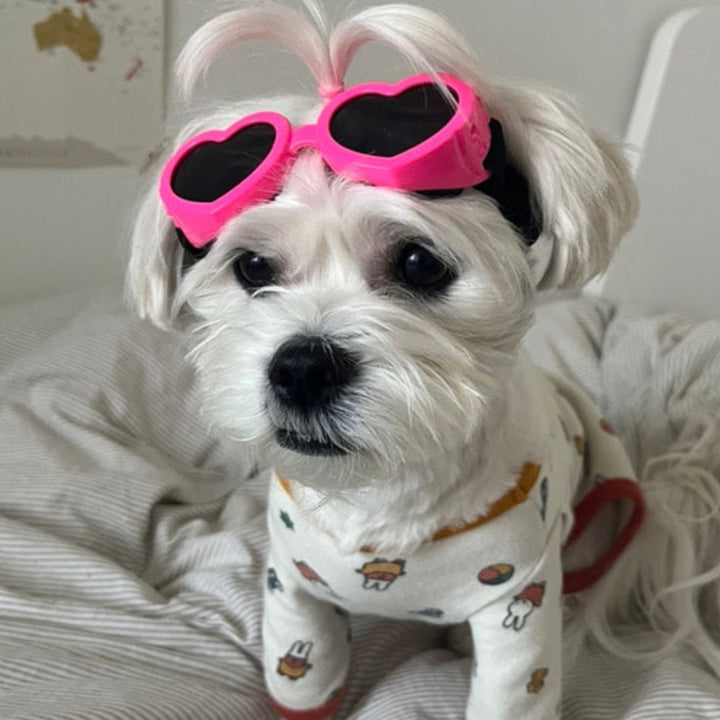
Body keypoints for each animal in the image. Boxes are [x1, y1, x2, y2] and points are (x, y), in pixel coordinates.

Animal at [126, 3, 649, 718]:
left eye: (420, 263)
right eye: (252, 267)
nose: (302, 368)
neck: (384, 498)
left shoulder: (520, 593)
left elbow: (518, 687)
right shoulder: (294, 585)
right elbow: (303, 669)